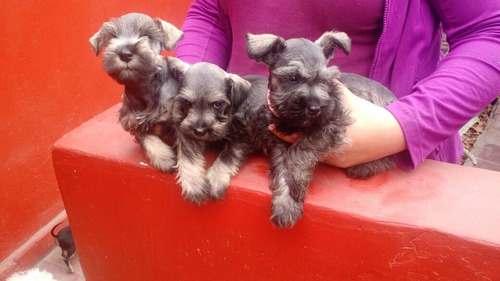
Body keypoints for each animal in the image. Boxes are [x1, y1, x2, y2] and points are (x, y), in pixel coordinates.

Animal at [89, 13, 184, 173]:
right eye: (113, 37)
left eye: (147, 35)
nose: (125, 53)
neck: (142, 85)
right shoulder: (132, 121)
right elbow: (146, 139)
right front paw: (164, 158)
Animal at [168, 57, 252, 205]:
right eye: (187, 103)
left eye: (217, 104)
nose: (200, 131)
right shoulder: (188, 132)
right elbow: (188, 154)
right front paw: (194, 183)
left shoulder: (243, 138)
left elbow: (227, 156)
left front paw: (215, 180)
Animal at [206, 30, 394, 226]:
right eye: (293, 78)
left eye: (326, 80)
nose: (315, 108)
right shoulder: (276, 141)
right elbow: (282, 166)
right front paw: (286, 203)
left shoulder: (331, 124)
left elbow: (300, 151)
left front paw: (295, 182)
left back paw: (362, 168)